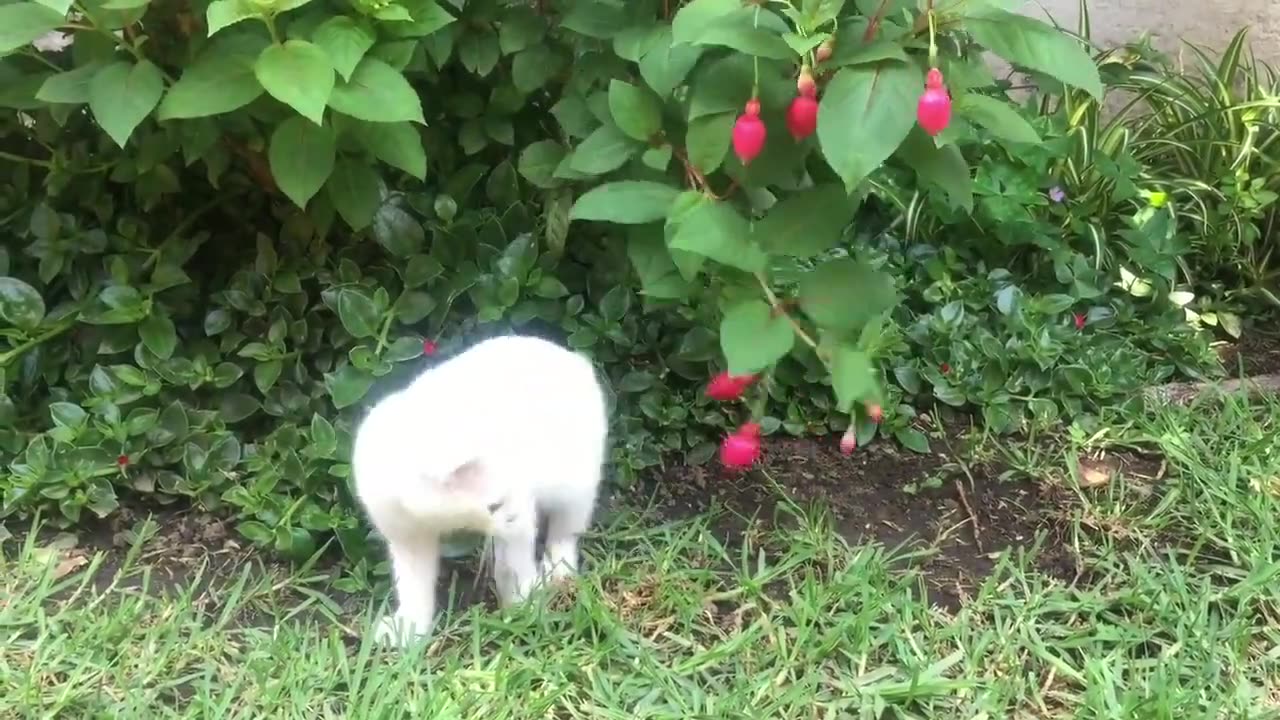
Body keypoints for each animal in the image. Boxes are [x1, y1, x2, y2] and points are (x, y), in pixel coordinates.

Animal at [350, 335, 609, 645]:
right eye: (494, 504)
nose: (515, 519)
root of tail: (573, 358)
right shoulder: (404, 535)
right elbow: (413, 583)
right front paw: (409, 628)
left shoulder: (522, 516)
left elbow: (516, 565)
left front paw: (525, 604)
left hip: (575, 480)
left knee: (566, 528)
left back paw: (559, 569)